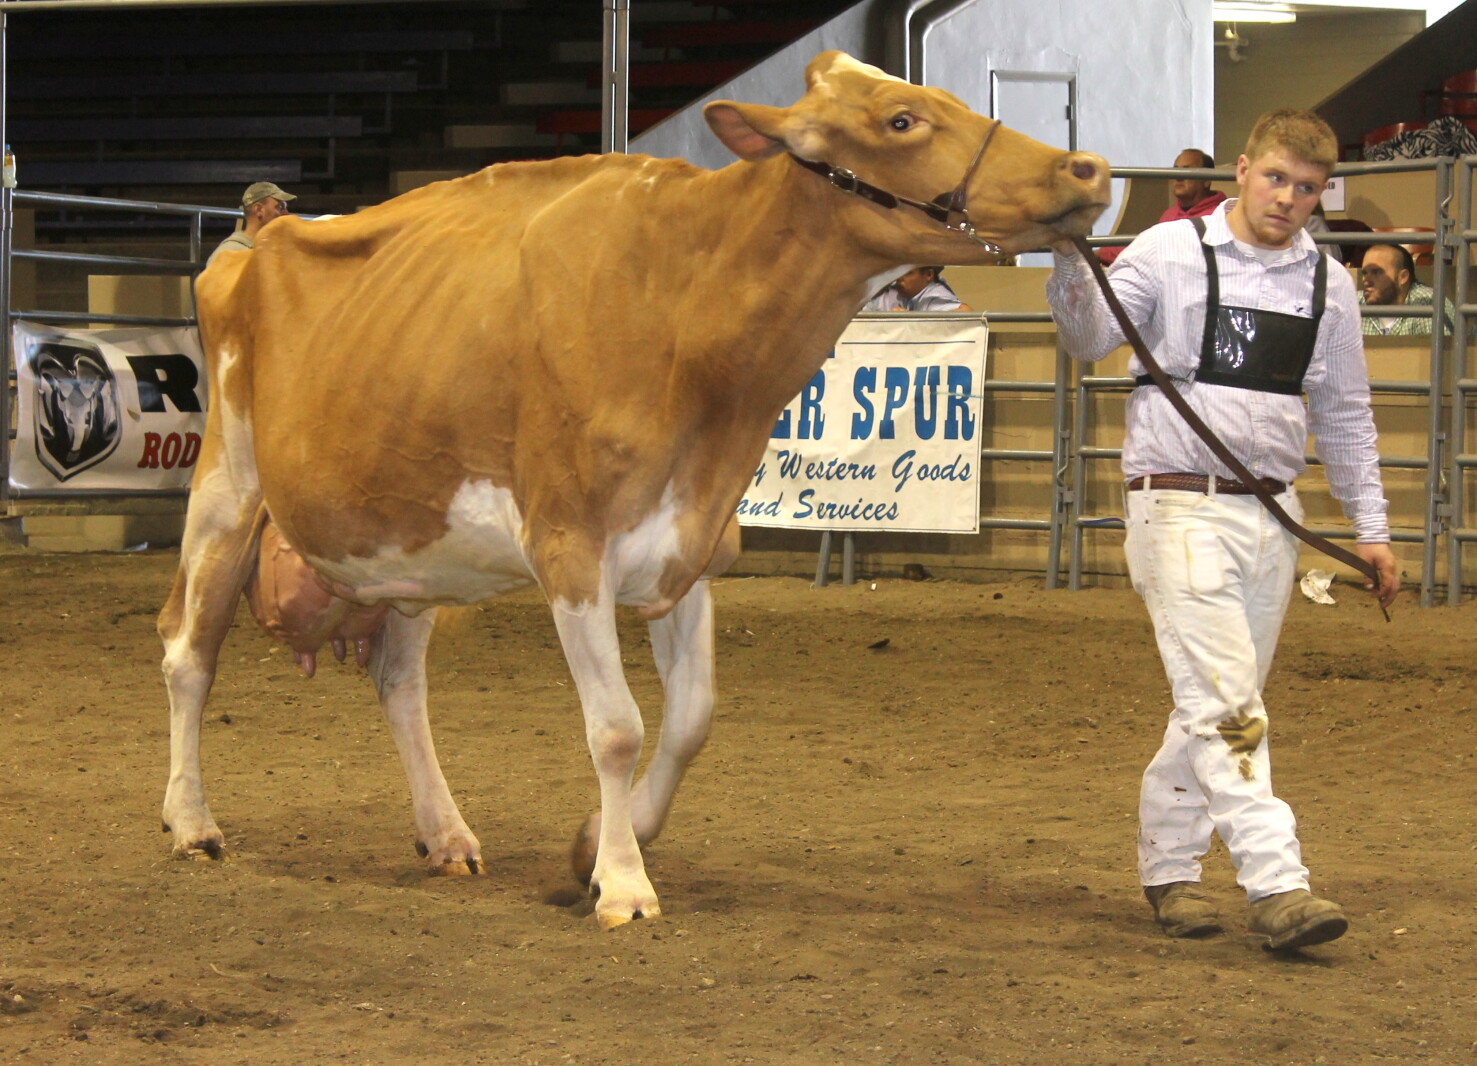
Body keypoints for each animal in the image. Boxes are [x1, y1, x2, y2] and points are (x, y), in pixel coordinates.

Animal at [159, 51, 1109, 929]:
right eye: (901, 119)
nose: (1088, 170)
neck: (687, 322)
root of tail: (258, 239)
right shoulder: (570, 547)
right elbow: (617, 727)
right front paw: (622, 883)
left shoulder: (688, 546)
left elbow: (690, 719)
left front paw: (592, 847)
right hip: (227, 488)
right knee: (187, 654)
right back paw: (193, 823)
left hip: (410, 545)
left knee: (398, 681)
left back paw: (447, 835)